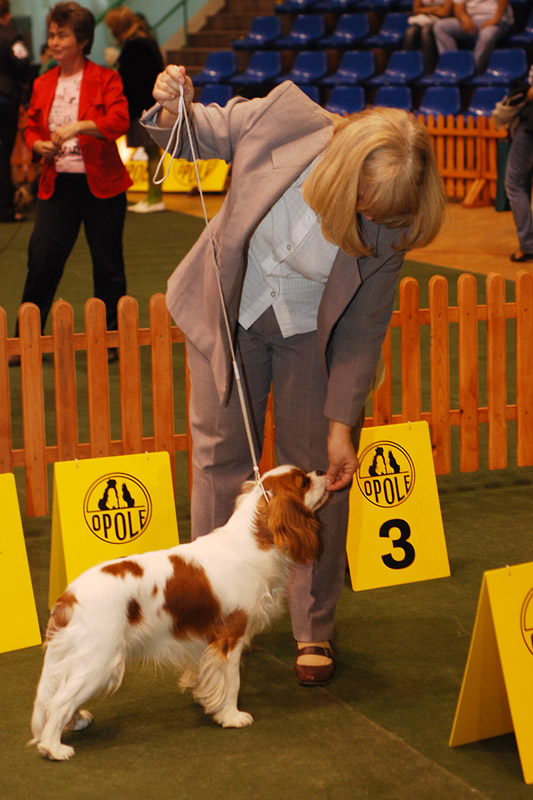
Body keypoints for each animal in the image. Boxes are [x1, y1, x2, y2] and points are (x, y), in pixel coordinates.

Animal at [30, 465, 328, 761]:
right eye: (304, 482)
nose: (322, 471)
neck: (252, 541)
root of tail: (68, 597)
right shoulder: (230, 637)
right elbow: (232, 681)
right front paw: (232, 716)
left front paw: (205, 698)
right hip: (99, 660)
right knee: (59, 703)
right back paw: (53, 747)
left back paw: (75, 722)